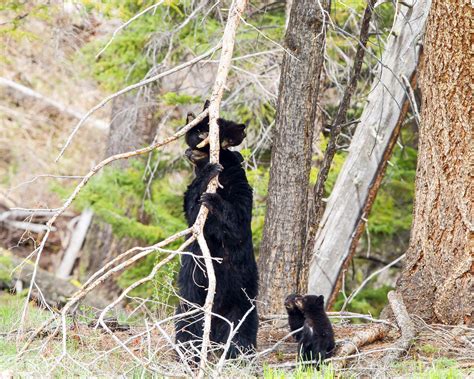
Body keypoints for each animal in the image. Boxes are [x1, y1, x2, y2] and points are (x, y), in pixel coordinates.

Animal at [174, 104, 258, 362]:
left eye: (206, 133)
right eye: (196, 131)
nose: (189, 149)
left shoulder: (240, 189)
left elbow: (237, 222)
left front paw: (214, 198)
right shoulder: (193, 212)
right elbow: (192, 208)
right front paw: (208, 175)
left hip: (243, 301)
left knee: (243, 328)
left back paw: (239, 354)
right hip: (192, 300)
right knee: (187, 324)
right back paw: (188, 353)